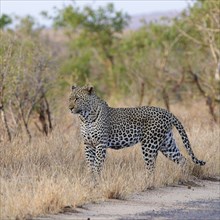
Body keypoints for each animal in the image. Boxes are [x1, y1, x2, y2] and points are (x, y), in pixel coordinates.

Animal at [69, 85, 206, 175]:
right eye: (70, 98)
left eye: (77, 99)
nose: (69, 107)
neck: (85, 118)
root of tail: (167, 112)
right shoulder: (88, 144)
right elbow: (90, 164)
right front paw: (90, 179)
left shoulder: (100, 144)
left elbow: (97, 164)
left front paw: (96, 181)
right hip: (167, 144)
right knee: (182, 160)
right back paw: (183, 177)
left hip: (149, 144)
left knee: (151, 167)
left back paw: (148, 183)